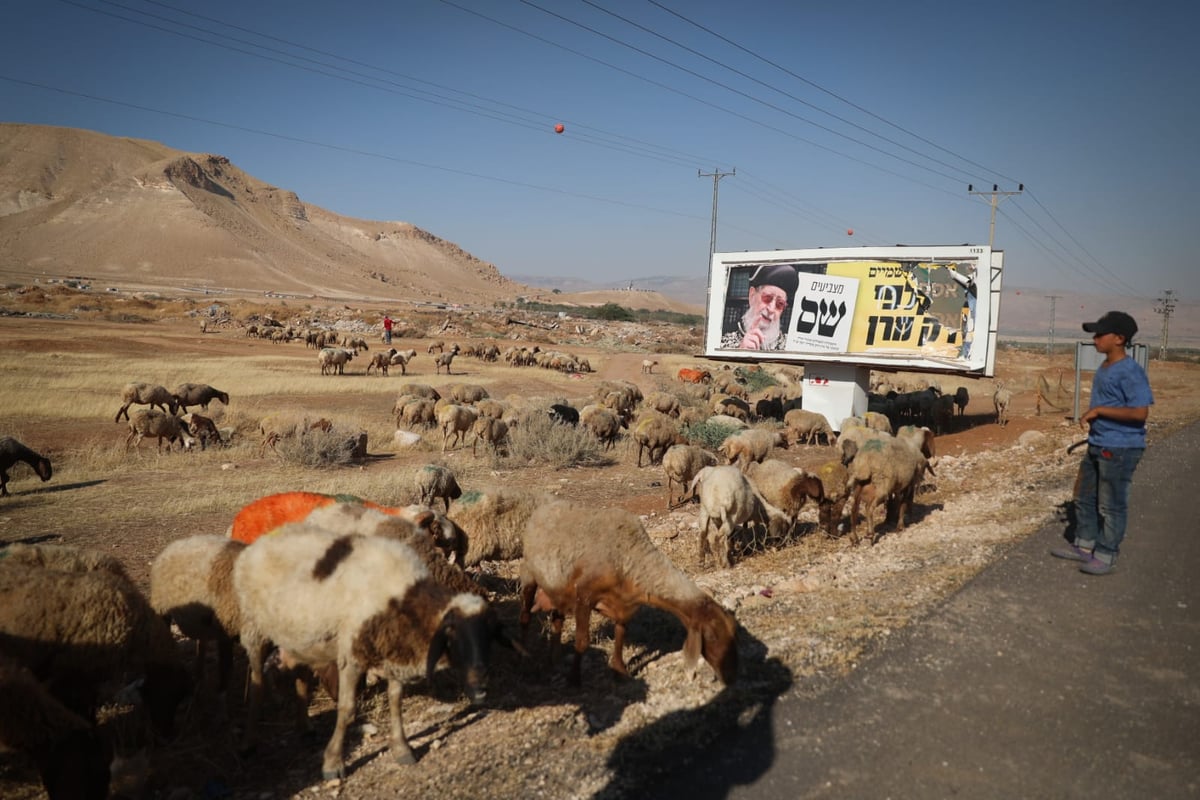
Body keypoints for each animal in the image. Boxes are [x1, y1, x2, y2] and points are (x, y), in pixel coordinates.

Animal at [231, 527, 494, 777]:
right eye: (452, 638)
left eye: (487, 636)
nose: (482, 690)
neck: (402, 598)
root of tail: (261, 541)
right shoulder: (351, 655)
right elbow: (347, 710)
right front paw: (333, 763)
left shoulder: (391, 650)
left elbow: (395, 701)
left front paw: (402, 749)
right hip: (254, 629)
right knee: (256, 682)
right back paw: (248, 743)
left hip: (301, 635)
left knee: (301, 676)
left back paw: (304, 726)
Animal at [518, 496, 734, 686]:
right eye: (712, 636)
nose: (729, 676)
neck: (629, 557)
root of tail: (544, 508)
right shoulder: (584, 596)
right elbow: (582, 641)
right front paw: (574, 680)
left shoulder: (624, 605)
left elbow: (620, 634)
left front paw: (620, 671)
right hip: (529, 573)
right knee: (525, 615)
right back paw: (524, 653)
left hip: (558, 588)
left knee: (557, 619)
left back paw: (554, 659)